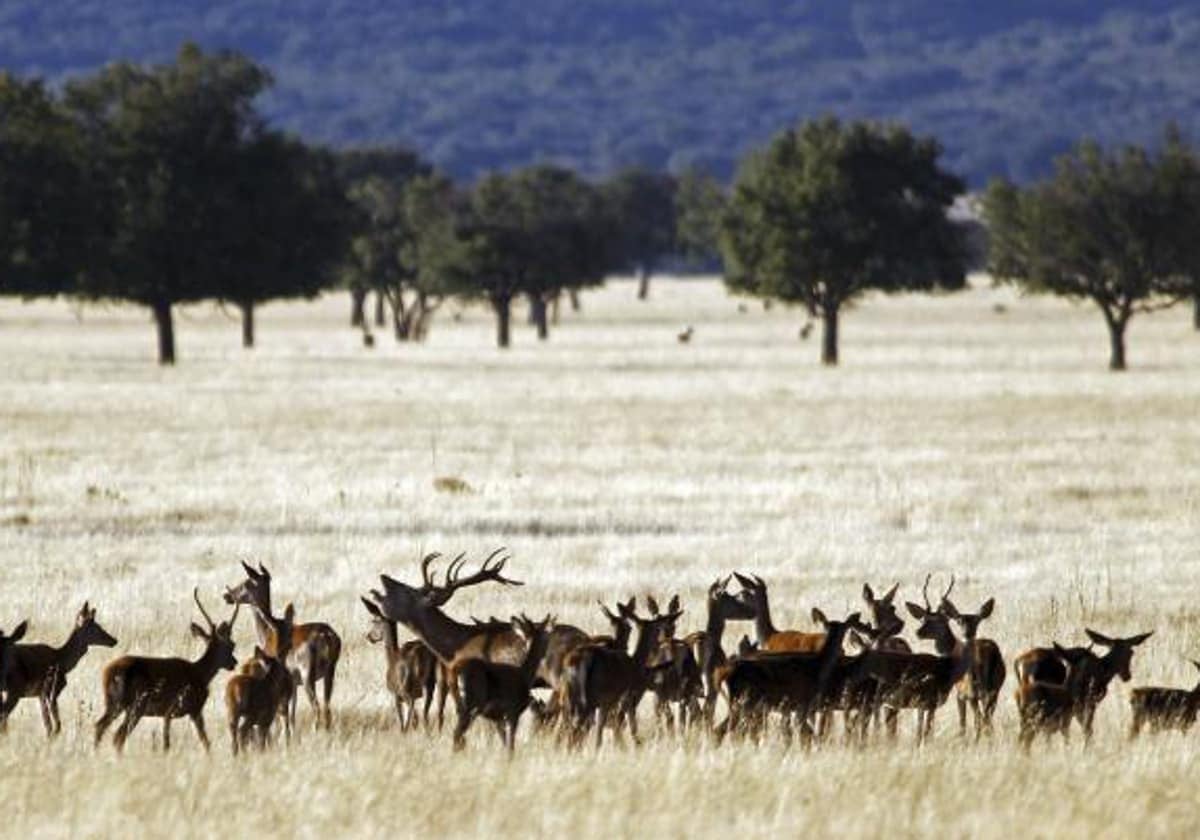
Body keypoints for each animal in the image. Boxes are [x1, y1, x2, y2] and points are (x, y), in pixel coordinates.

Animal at [0, 600, 116, 739]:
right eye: (97, 627)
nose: (114, 640)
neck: (63, 661)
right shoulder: (53, 689)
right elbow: (56, 725)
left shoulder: (41, 693)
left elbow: (48, 724)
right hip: (15, 687)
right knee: (4, 714)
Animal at [93, 590, 238, 753]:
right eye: (231, 645)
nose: (234, 663)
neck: (200, 673)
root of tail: (109, 673)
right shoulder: (191, 708)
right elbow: (204, 742)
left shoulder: (167, 714)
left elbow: (168, 742)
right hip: (137, 704)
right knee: (118, 736)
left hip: (113, 703)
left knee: (99, 726)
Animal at [224, 561, 343, 729]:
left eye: (246, 582)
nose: (227, 596)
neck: (267, 634)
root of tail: (327, 635)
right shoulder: (293, 682)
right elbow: (292, 714)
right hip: (330, 671)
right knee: (327, 707)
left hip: (307, 674)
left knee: (316, 707)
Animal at [226, 604, 297, 753]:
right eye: (289, 634)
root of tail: (235, 690)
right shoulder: (268, 716)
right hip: (252, 714)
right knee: (243, 732)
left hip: (232, 713)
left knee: (235, 736)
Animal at [448, 609, 554, 753]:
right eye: (545, 638)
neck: (525, 674)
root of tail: (456, 671)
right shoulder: (513, 710)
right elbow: (511, 745)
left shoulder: (498, 717)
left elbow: (504, 742)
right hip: (471, 702)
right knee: (457, 733)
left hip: (461, 703)